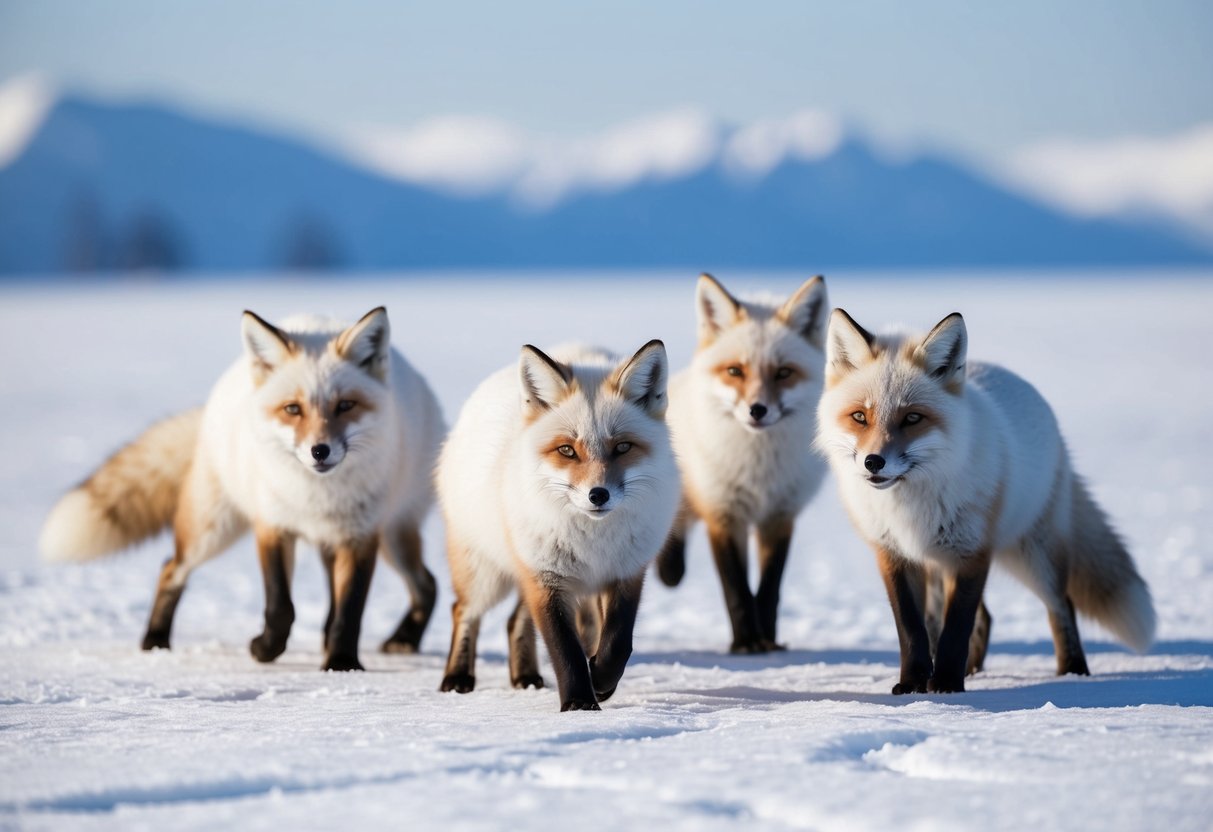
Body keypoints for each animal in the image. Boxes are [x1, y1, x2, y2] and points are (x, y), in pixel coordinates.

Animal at [38, 307, 445, 671]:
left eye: (345, 405)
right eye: (293, 409)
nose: (320, 450)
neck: (315, 498)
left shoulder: (360, 537)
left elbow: (350, 610)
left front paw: (341, 663)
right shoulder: (272, 526)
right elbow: (281, 608)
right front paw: (266, 650)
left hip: (391, 535)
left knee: (427, 585)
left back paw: (399, 640)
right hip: (211, 529)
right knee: (170, 568)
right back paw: (155, 642)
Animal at [437, 341, 679, 711]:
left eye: (622, 447)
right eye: (567, 450)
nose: (598, 494)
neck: (593, 543)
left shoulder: (625, 571)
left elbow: (617, 642)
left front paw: (602, 681)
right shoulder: (546, 579)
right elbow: (565, 649)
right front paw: (580, 704)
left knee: (515, 621)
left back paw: (525, 677)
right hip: (487, 574)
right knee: (464, 611)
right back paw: (457, 677)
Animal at [654, 273, 830, 653]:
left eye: (783, 373)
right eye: (735, 371)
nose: (757, 410)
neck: (759, 470)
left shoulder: (779, 515)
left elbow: (768, 589)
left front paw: (767, 639)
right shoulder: (724, 513)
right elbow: (735, 588)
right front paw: (746, 643)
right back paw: (670, 569)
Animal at [816, 308, 1155, 694]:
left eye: (912, 417)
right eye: (860, 416)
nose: (873, 462)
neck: (910, 505)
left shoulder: (971, 553)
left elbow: (955, 630)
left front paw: (947, 685)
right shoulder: (894, 554)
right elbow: (913, 630)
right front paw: (915, 684)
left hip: (1031, 553)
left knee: (1060, 604)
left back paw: (1072, 671)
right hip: (941, 563)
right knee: (979, 618)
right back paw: (972, 670)